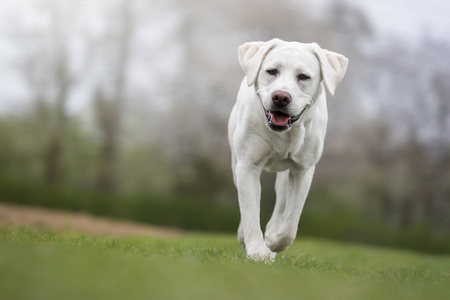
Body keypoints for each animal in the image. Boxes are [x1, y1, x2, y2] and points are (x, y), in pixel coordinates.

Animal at [229, 38, 348, 262]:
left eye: (303, 76)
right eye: (271, 71)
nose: (281, 97)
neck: (285, 134)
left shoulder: (303, 171)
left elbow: (291, 222)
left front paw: (273, 243)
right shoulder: (247, 166)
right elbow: (250, 210)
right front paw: (257, 251)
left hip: (285, 177)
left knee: (282, 203)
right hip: (235, 165)